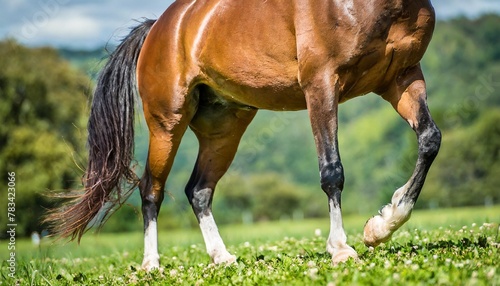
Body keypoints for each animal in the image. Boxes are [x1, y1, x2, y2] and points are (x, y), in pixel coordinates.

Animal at [44, 0, 442, 270]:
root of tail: (159, 26)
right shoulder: (321, 86)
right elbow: (332, 171)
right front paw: (341, 248)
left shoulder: (402, 77)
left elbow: (429, 140)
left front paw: (381, 226)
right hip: (166, 125)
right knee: (151, 191)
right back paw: (151, 264)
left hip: (225, 129)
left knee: (198, 191)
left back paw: (222, 257)